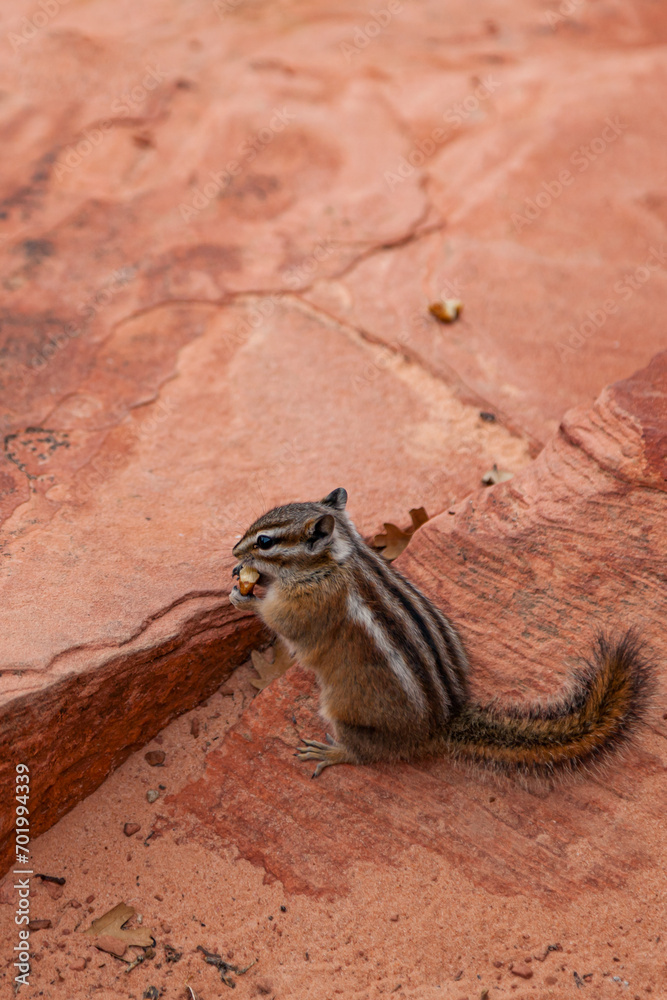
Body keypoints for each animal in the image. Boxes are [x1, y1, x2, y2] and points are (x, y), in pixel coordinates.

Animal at [229, 488, 651, 778]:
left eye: (265, 541)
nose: (234, 552)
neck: (340, 558)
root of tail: (442, 723)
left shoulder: (309, 606)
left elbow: (281, 622)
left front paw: (248, 598)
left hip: (345, 713)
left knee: (365, 753)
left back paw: (331, 753)